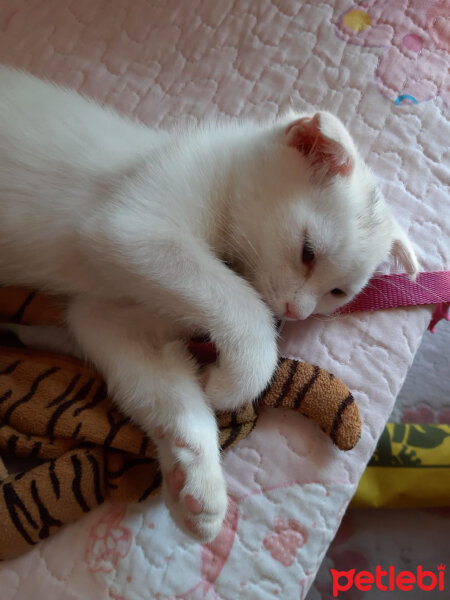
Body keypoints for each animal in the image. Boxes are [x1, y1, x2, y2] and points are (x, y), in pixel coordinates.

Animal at [0, 68, 418, 540]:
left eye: (337, 293)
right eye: (307, 253)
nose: (296, 312)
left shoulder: (106, 314)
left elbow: (150, 379)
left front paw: (194, 476)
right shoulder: (133, 226)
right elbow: (242, 303)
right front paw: (232, 381)